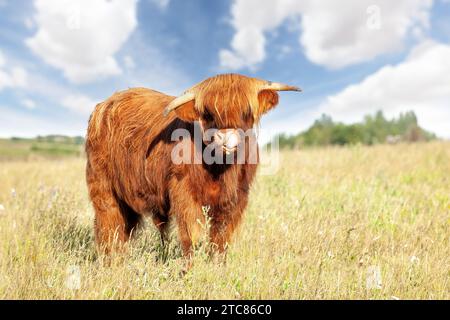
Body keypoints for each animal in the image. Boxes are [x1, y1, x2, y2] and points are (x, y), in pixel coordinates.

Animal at [85, 74, 300, 264]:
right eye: (208, 114)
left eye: (247, 112)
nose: (225, 137)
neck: (220, 170)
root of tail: (105, 104)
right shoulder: (185, 193)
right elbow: (192, 236)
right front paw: (188, 270)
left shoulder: (236, 197)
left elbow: (221, 238)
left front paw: (217, 266)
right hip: (102, 186)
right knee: (109, 225)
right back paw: (111, 262)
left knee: (123, 229)